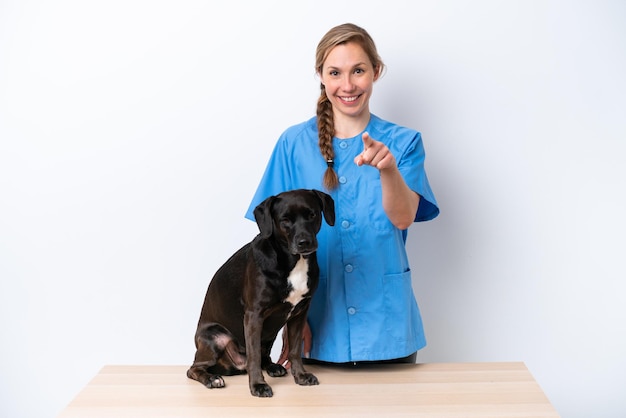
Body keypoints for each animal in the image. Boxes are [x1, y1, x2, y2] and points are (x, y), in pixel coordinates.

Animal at [185, 188, 334, 396]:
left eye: (312, 215)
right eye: (285, 219)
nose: (305, 242)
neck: (293, 261)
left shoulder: (300, 313)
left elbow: (295, 349)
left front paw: (301, 375)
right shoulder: (254, 315)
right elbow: (253, 355)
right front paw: (257, 385)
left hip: (269, 335)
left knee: (263, 356)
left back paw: (273, 367)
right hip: (216, 337)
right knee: (194, 368)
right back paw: (211, 378)